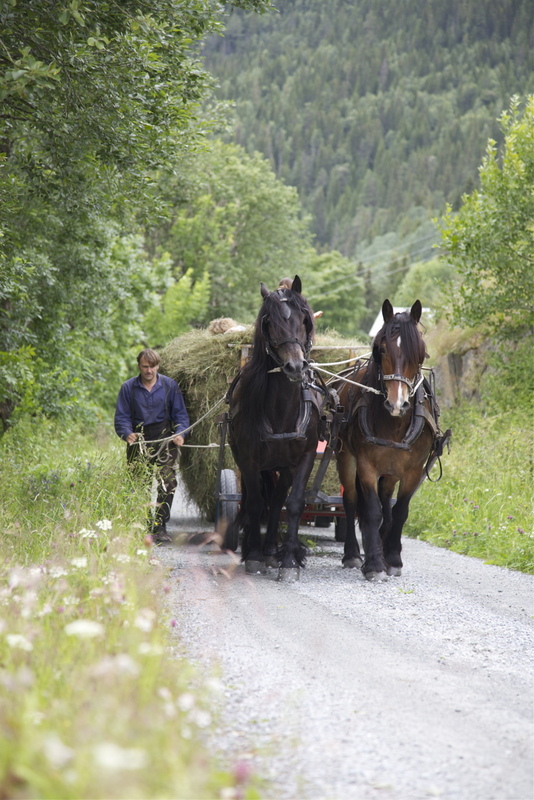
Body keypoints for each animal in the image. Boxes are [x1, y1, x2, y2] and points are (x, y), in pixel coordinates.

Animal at [225, 276, 322, 580]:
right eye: (269, 322)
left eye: (304, 319)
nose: (295, 366)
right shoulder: (249, 459)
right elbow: (256, 503)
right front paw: (254, 555)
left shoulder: (304, 457)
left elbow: (293, 504)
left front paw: (288, 559)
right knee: (261, 499)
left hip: (283, 465)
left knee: (278, 499)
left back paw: (271, 549)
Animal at [338, 300, 450, 580]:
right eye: (381, 348)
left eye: (420, 351)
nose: (396, 404)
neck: (394, 423)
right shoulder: (366, 465)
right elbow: (371, 510)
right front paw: (374, 564)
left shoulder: (413, 470)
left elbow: (399, 511)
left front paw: (393, 558)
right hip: (345, 458)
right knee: (351, 501)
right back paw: (353, 553)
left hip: (391, 471)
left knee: (386, 502)